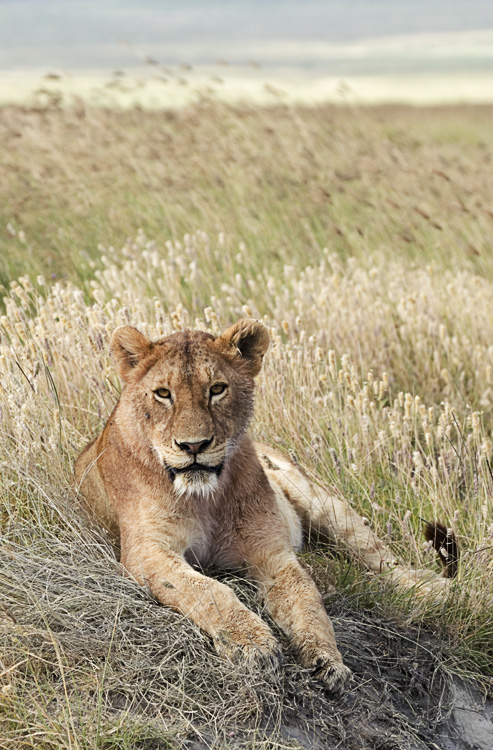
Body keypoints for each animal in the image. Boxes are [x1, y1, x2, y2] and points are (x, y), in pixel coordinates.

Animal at [76, 320, 450, 696]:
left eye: (217, 389)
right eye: (163, 393)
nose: (194, 446)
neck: (206, 498)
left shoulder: (271, 552)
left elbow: (306, 598)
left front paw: (328, 659)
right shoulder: (147, 551)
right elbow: (208, 589)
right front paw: (252, 644)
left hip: (324, 506)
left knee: (383, 561)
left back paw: (431, 591)